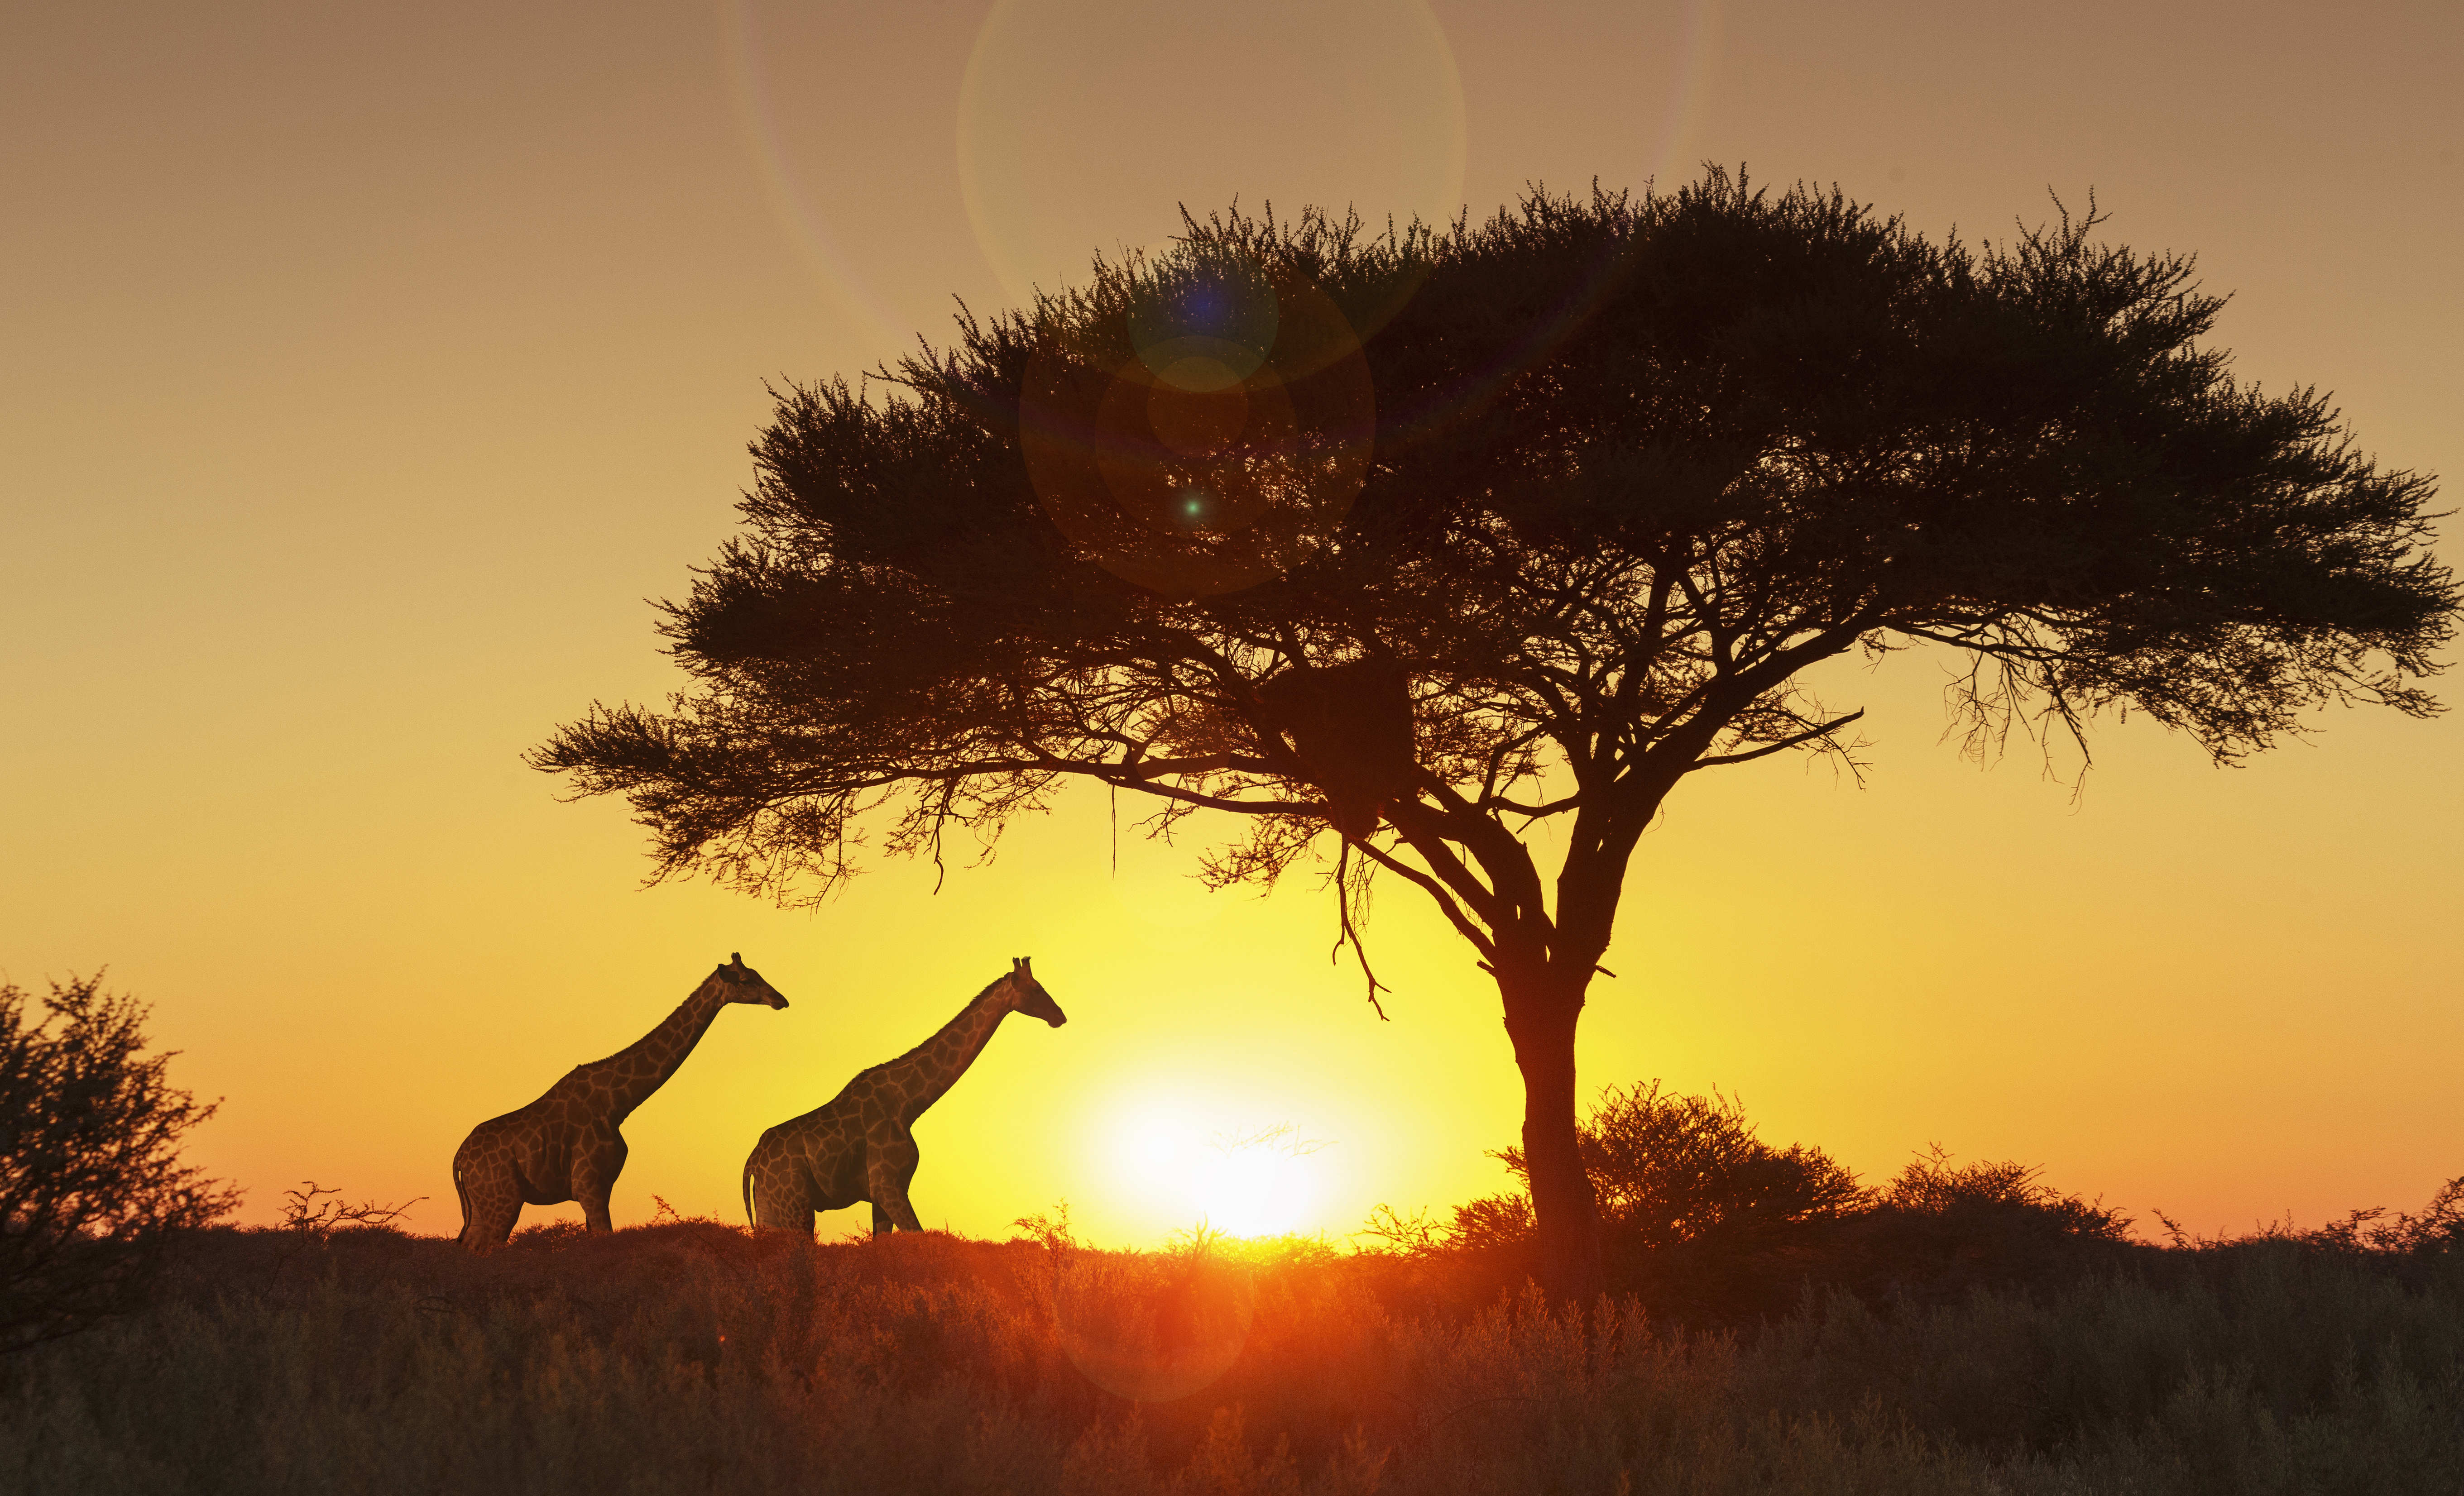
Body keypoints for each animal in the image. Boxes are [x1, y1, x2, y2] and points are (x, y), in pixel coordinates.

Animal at [452, 953, 789, 1252]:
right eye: (746, 980)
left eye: (758, 973)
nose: (781, 1000)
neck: (616, 1104)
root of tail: (459, 1158)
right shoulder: (591, 1187)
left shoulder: (601, 1188)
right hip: (503, 1202)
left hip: (480, 1208)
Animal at [743, 956, 1065, 1237]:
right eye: (1036, 989)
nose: (1060, 1016)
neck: (907, 1103)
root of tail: (753, 1160)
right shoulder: (889, 1186)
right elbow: (919, 1236)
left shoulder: (881, 1196)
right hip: (796, 1204)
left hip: (769, 1208)